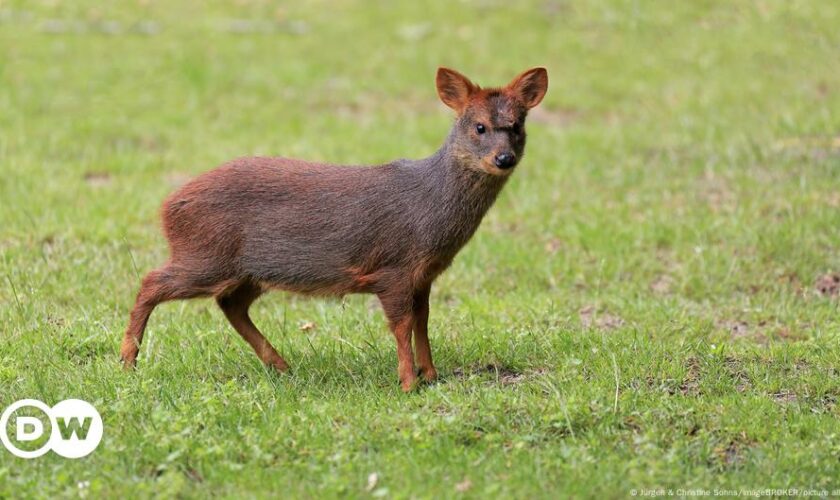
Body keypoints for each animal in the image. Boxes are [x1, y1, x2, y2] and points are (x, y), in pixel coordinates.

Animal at [121, 66, 548, 392]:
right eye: (479, 127)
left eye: (517, 125)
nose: (504, 158)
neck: (429, 209)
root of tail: (167, 207)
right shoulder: (393, 267)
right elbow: (401, 325)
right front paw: (408, 383)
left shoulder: (423, 275)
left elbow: (423, 320)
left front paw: (431, 374)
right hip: (205, 255)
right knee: (151, 281)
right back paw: (128, 361)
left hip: (247, 270)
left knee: (230, 304)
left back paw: (281, 365)